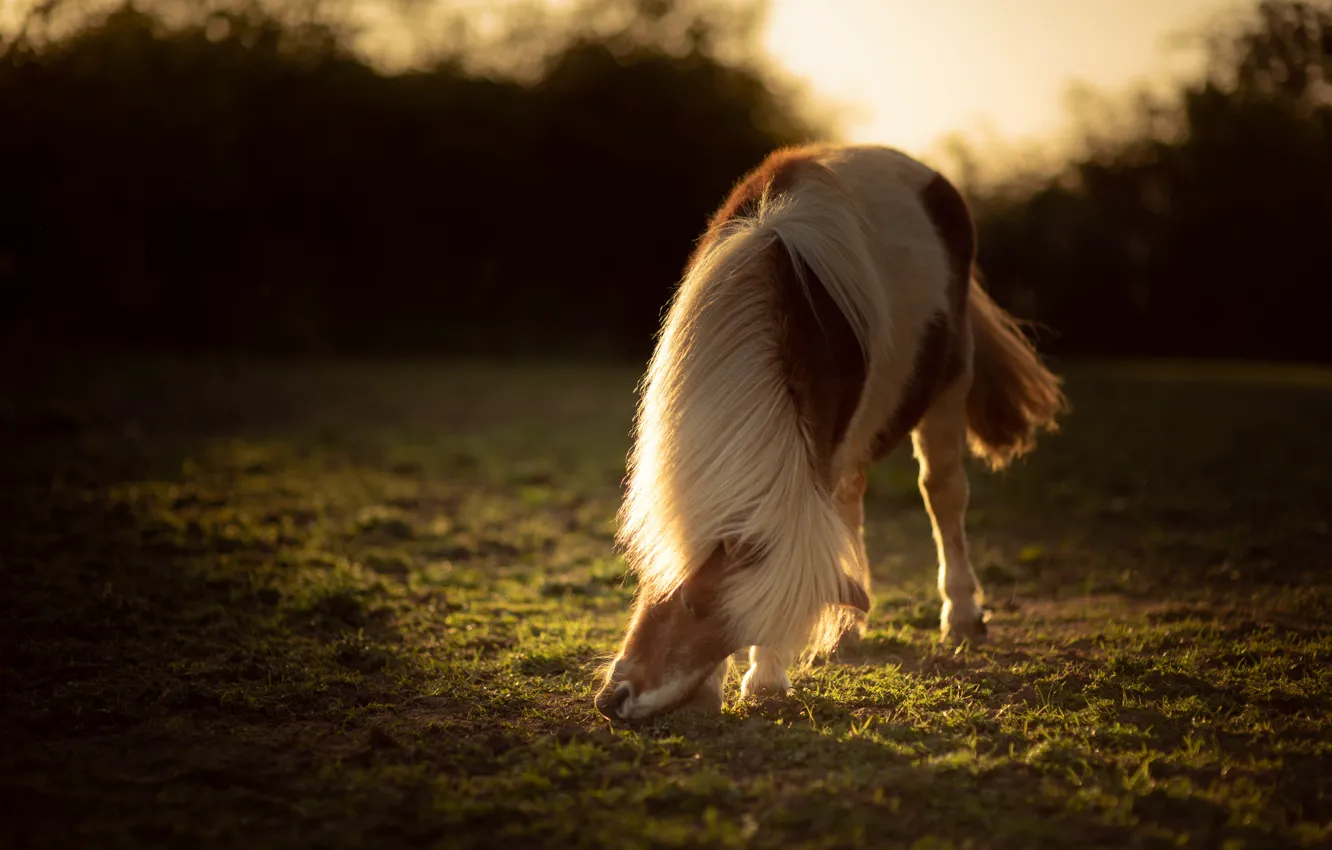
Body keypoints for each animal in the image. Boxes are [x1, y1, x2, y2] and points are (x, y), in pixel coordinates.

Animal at [594, 143, 1066, 722]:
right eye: (689, 601)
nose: (616, 700)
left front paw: (763, 678)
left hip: (950, 382)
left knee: (943, 494)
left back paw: (961, 616)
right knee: (854, 501)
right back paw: (849, 631)